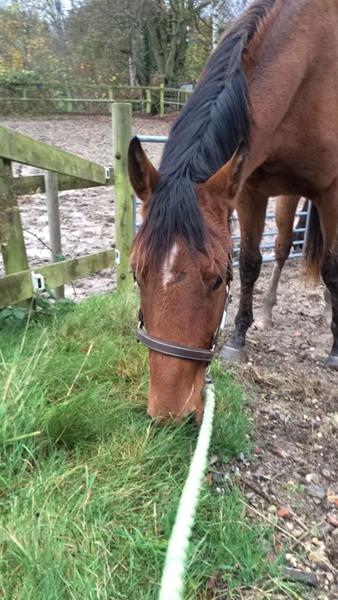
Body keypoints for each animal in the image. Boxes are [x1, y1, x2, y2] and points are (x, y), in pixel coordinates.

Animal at [128, 0, 338, 422]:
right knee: (284, 247)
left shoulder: (333, 189)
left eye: (214, 281)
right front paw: (239, 337)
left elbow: (333, 269)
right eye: (137, 275)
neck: (313, 62)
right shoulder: (248, 188)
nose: (169, 414)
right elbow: (252, 262)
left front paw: (336, 350)